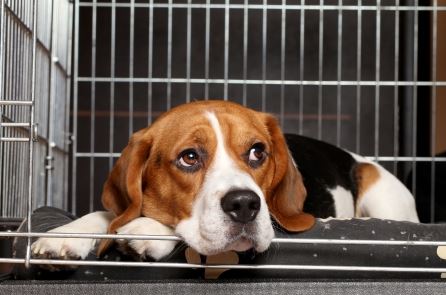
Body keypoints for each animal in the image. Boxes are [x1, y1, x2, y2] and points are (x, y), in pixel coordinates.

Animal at [33, 100, 420, 262]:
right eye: (190, 157)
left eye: (257, 152)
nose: (244, 205)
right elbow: (106, 215)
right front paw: (66, 235)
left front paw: (148, 229)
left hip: (378, 186)